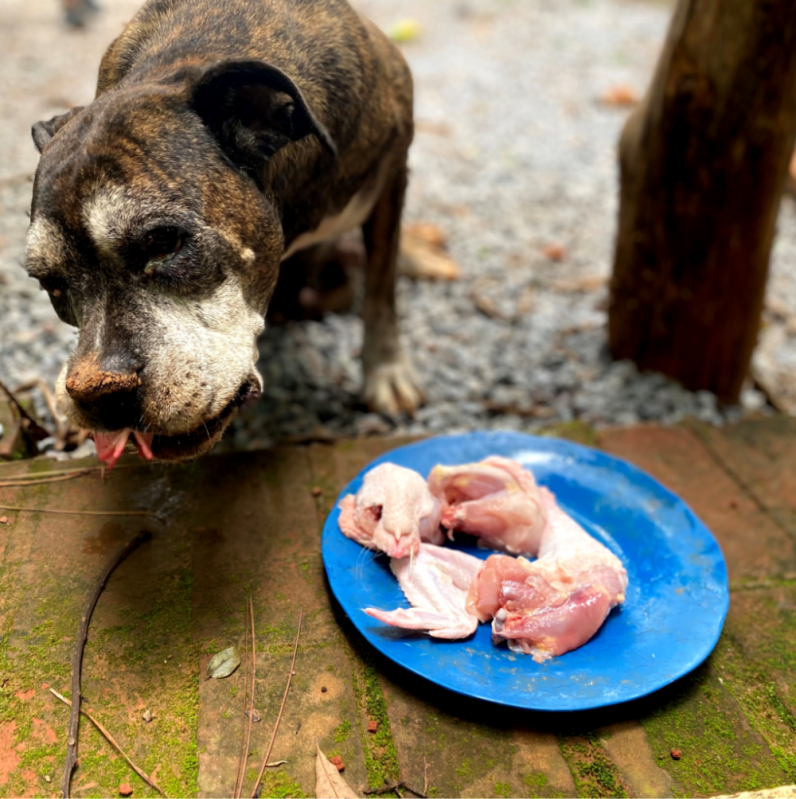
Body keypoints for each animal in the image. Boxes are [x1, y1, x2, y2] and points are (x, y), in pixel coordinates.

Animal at [26, 0, 422, 462]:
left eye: (164, 242)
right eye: (50, 284)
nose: (96, 395)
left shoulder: (391, 178)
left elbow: (381, 287)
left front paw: (386, 372)